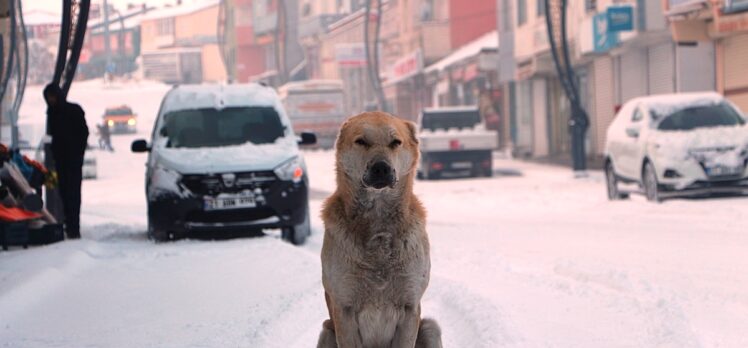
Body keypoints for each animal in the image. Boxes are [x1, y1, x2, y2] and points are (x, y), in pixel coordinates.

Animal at [318, 113, 444, 346]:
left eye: (395, 142)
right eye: (361, 141)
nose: (381, 168)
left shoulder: (410, 307)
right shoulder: (344, 309)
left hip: (430, 328)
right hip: (327, 331)